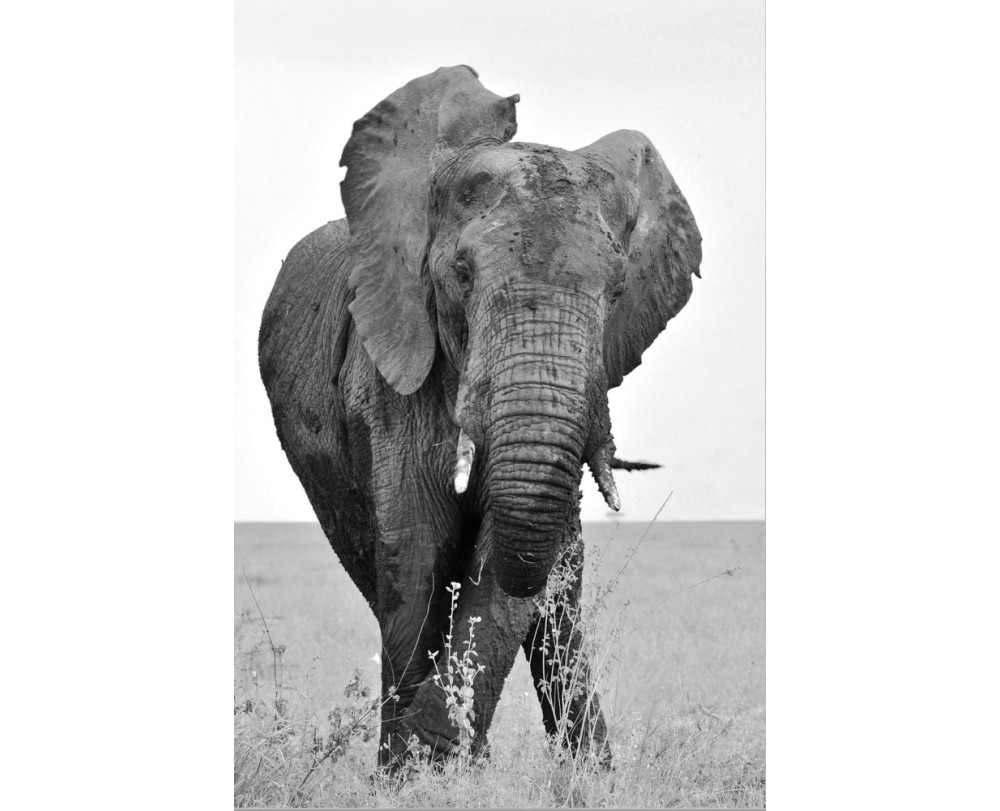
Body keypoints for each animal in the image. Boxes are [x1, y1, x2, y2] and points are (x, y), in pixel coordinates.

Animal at [258, 65, 702, 770]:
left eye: (616, 292)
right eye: (462, 276)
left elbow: (507, 554)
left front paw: (434, 758)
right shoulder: (391, 376)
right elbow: (415, 549)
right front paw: (414, 770)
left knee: (557, 598)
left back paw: (588, 773)